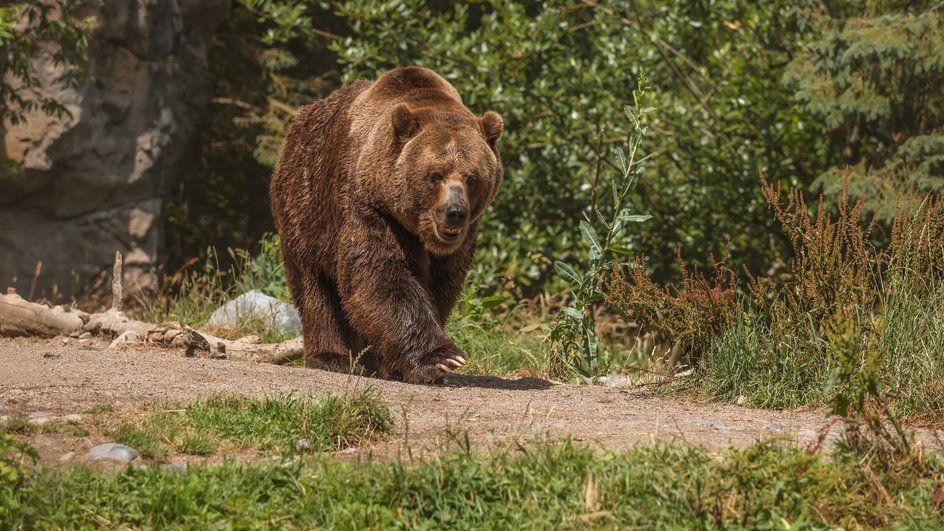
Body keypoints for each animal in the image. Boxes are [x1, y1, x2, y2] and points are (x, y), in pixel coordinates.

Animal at [270, 66, 506, 384]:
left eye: (472, 177)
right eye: (435, 174)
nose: (455, 212)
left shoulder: (459, 242)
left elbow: (441, 285)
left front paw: (397, 364)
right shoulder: (369, 207)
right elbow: (381, 275)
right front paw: (440, 359)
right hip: (305, 206)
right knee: (315, 286)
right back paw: (331, 357)